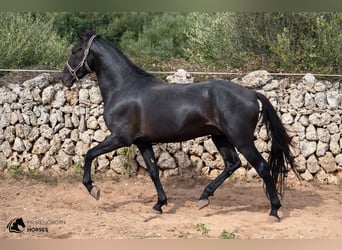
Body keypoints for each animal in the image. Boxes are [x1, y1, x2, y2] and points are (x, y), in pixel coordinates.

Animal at [60, 31, 296, 221]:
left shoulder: (120, 138)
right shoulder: (142, 142)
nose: (64, 78)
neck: (124, 89)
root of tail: (251, 93)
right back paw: (204, 197)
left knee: (262, 167)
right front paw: (159, 205)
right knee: (232, 164)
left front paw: (93, 189)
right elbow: (153, 171)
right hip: (220, 137)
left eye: (76, 50)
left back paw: (274, 211)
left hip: (241, 139)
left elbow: (89, 154)